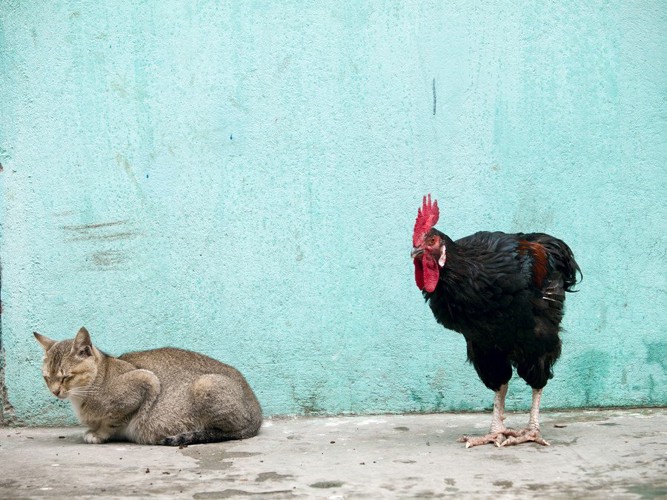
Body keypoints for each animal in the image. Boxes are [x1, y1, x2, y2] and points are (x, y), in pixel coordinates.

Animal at [34, 328, 260, 446]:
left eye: (66, 377)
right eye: (46, 378)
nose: (55, 391)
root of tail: (257, 411)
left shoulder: (147, 381)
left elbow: (113, 421)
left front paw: (98, 434)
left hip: (205, 384)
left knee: (231, 432)